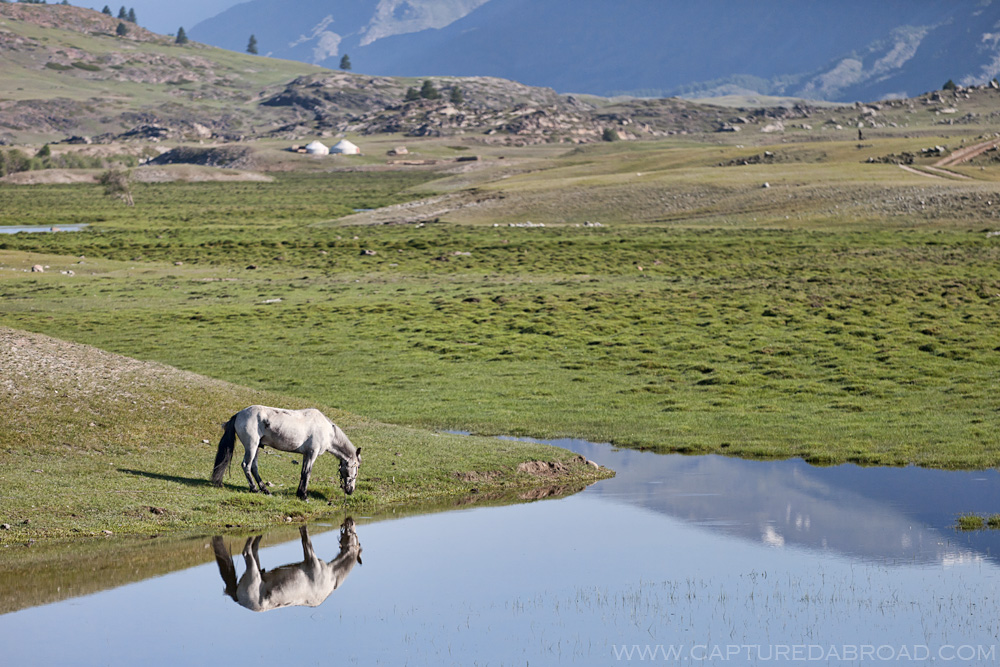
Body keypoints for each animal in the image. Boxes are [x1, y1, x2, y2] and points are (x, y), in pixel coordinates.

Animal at [211, 405, 361, 500]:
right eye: (356, 470)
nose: (351, 490)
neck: (328, 431)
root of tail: (238, 414)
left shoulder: (306, 455)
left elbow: (303, 473)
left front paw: (299, 493)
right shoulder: (312, 454)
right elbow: (307, 473)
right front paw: (304, 496)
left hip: (256, 447)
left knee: (254, 467)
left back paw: (265, 490)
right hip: (251, 446)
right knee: (246, 466)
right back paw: (254, 489)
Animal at [211, 520, 362, 612]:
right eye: (355, 535)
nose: (350, 520)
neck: (331, 577)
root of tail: (238, 599)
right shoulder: (311, 560)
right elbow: (306, 540)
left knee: (253, 549)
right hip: (252, 573)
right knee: (247, 551)